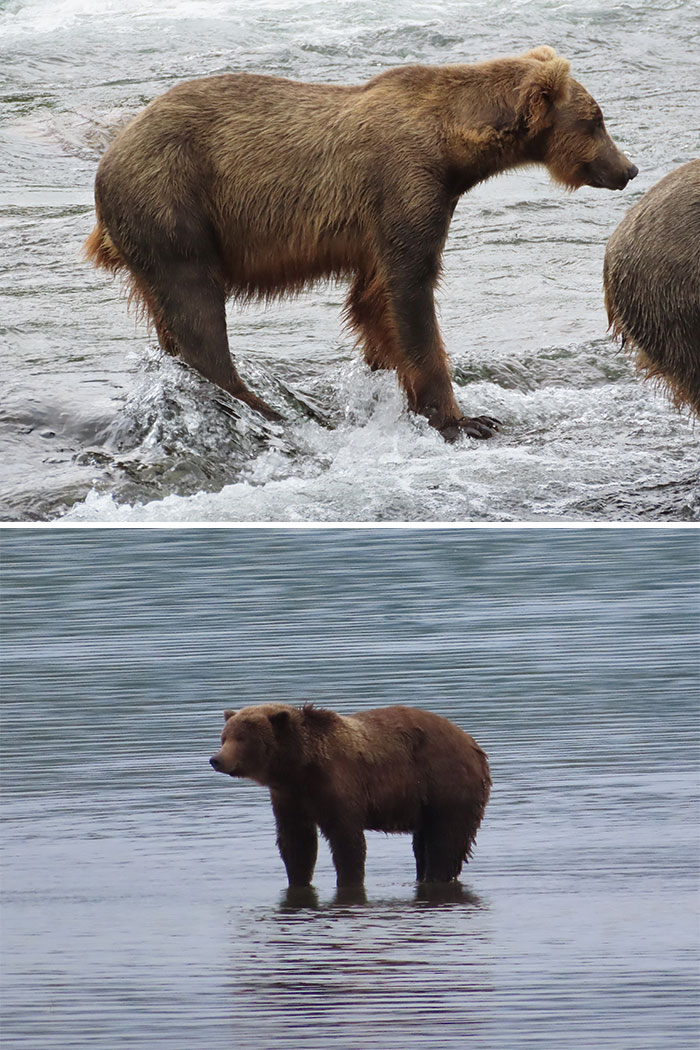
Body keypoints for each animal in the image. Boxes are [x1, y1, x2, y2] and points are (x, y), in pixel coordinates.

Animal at [85, 46, 637, 440]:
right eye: (596, 120)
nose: (628, 169)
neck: (454, 148)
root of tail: (109, 156)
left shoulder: (392, 218)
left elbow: (374, 300)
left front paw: (388, 380)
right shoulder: (405, 186)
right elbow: (411, 291)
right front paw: (465, 418)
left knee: (169, 315)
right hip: (173, 202)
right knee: (194, 302)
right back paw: (264, 407)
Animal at [209, 702, 491, 887]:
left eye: (242, 738)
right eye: (224, 737)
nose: (216, 759)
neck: (299, 767)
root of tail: (473, 743)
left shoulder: (339, 784)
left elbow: (346, 840)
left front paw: (348, 880)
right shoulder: (288, 797)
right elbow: (296, 843)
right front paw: (298, 878)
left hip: (445, 784)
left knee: (445, 840)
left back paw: (435, 877)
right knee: (424, 844)